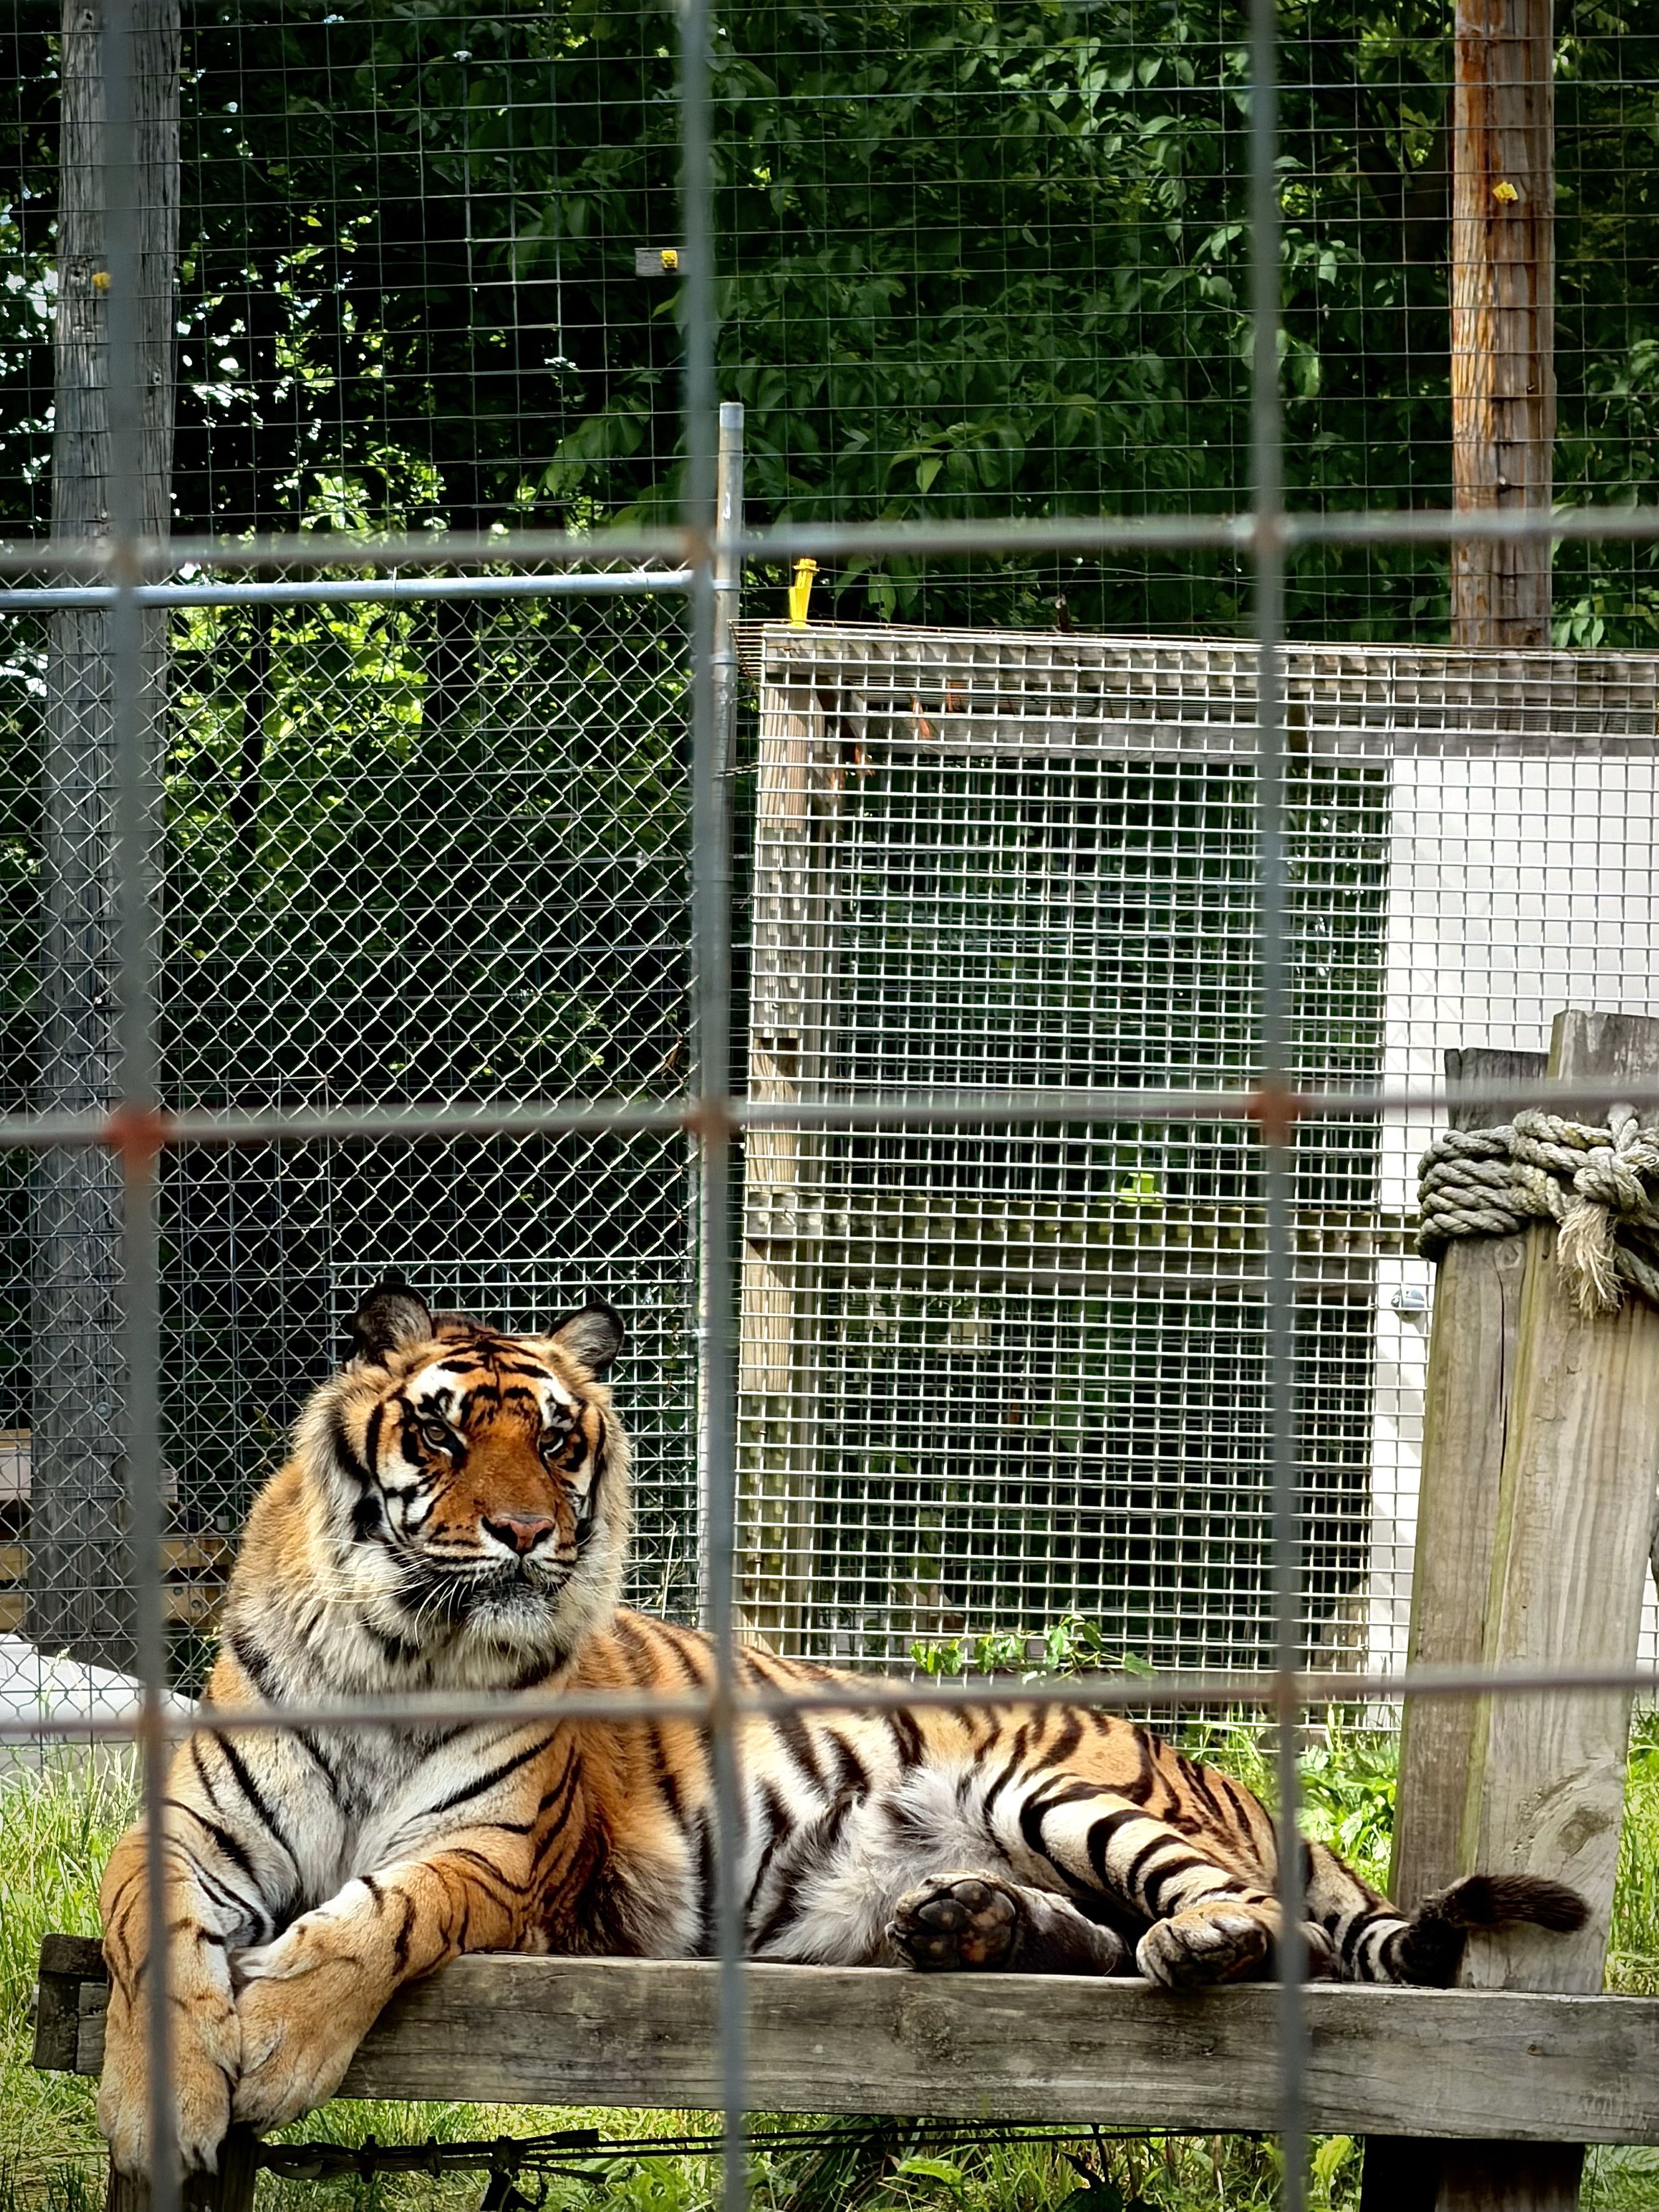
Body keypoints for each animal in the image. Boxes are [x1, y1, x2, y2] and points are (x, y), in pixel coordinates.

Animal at [99, 1281, 1587, 2176]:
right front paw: (156, 2103)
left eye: (562, 1443)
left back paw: (1178, 1937)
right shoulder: (184, 1829)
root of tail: (1225, 1776)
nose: (527, 1533)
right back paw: (963, 1924)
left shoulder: (499, 1857)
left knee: (1251, 1926)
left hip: (1057, 1788)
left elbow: (378, 1918)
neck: (407, 1647)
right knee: (1101, 1941)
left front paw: (275, 2048)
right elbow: (147, 1932)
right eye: (450, 1434)